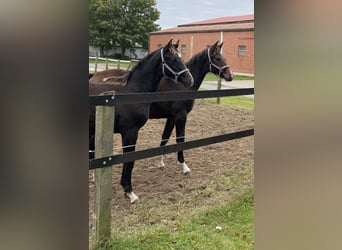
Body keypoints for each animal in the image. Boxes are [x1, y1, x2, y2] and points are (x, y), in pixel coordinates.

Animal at [89, 39, 194, 203]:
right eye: (174, 59)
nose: (190, 80)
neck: (133, 93)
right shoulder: (130, 132)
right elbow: (129, 160)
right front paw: (129, 192)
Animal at [148, 40, 234, 174]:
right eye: (218, 58)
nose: (230, 75)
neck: (180, 85)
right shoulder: (181, 115)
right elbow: (180, 139)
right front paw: (184, 166)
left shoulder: (172, 117)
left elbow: (165, 136)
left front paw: (160, 162)